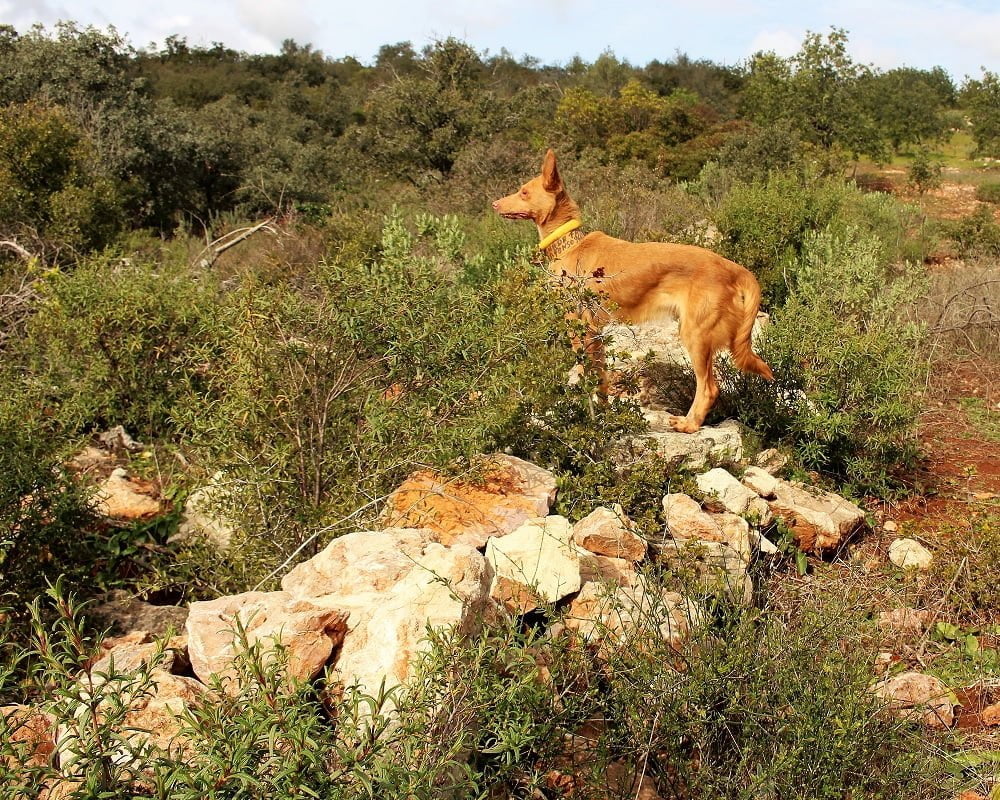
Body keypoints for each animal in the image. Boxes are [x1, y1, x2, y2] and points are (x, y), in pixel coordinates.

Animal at [492, 147, 772, 434]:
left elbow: (584, 378)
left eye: (523, 192)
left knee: (709, 388)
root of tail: (731, 266)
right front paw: (603, 417)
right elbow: (601, 380)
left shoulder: (578, 328)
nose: (494, 204)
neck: (569, 244)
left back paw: (689, 424)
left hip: (695, 335)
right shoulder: (596, 334)